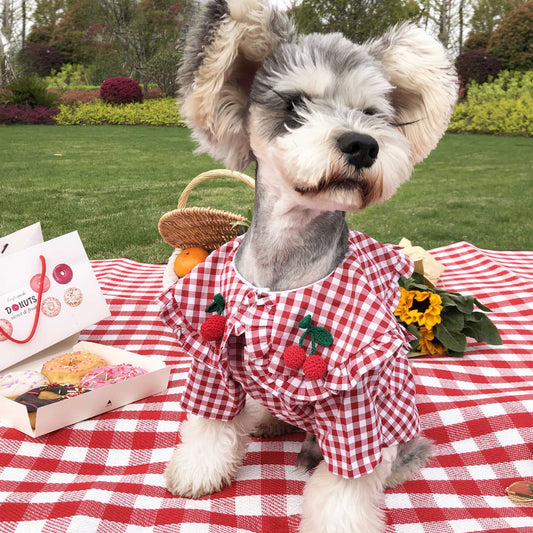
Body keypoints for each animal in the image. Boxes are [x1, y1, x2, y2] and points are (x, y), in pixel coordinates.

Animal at [159, 2, 458, 528]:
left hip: (396, 427)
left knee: (397, 455)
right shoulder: (211, 359)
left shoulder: (355, 400)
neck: (284, 268)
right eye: (296, 104)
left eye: (372, 113)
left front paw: (340, 520)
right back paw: (266, 419)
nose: (363, 144)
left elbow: (345, 485)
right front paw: (197, 472)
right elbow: (208, 423)